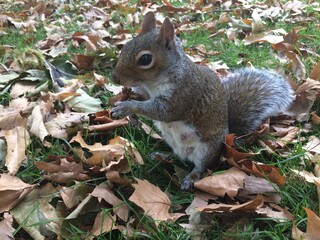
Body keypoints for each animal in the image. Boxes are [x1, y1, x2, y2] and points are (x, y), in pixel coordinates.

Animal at [110, 12, 296, 190]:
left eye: (145, 59)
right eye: (125, 46)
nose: (115, 78)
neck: (153, 83)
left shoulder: (183, 94)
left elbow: (163, 112)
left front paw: (126, 107)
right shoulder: (149, 93)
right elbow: (145, 99)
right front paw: (127, 95)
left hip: (206, 149)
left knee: (202, 166)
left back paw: (191, 177)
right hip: (172, 141)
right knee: (179, 156)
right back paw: (163, 155)